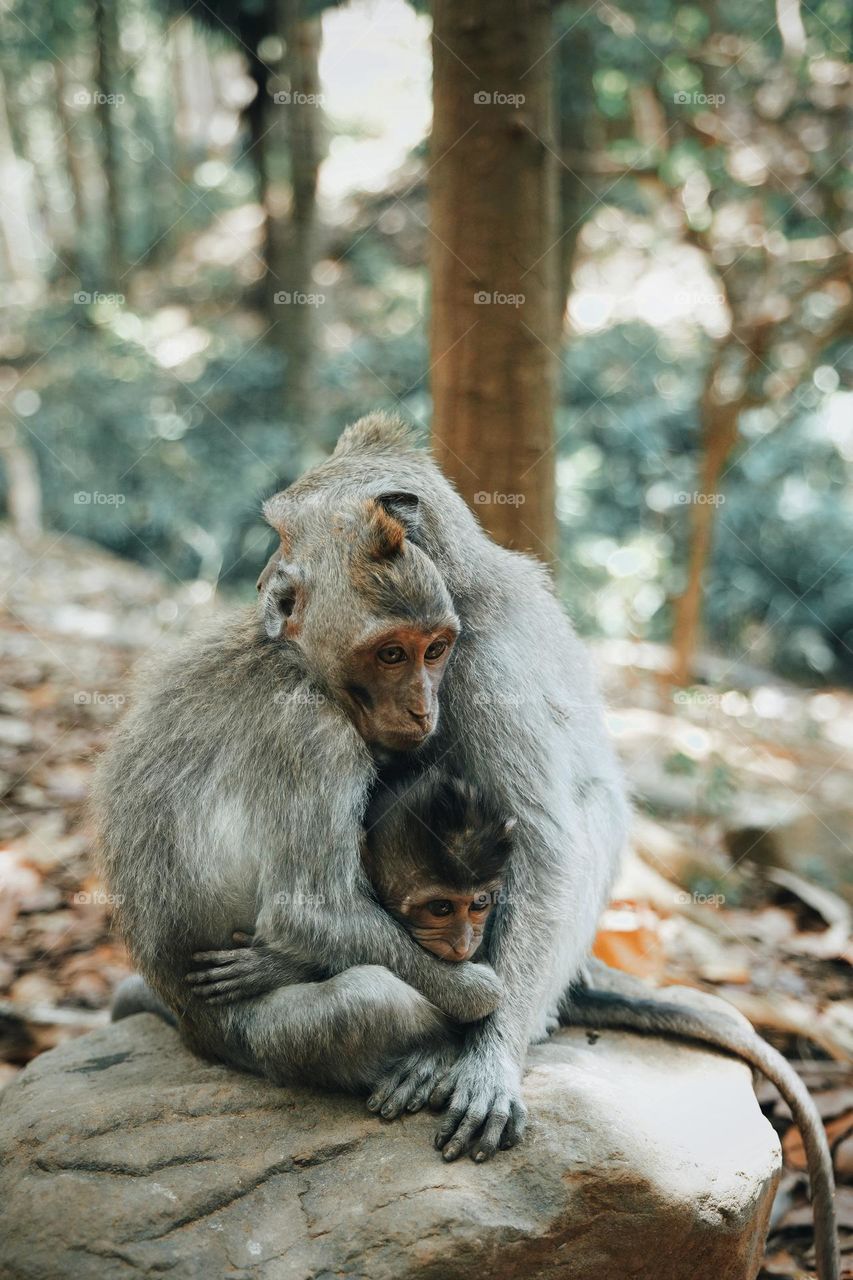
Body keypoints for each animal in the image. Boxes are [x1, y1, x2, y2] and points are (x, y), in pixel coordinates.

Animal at [94, 413, 838, 1275]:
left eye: (426, 651)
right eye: (273, 536)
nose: (268, 587)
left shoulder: (482, 666)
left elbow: (543, 845)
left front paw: (484, 1048)